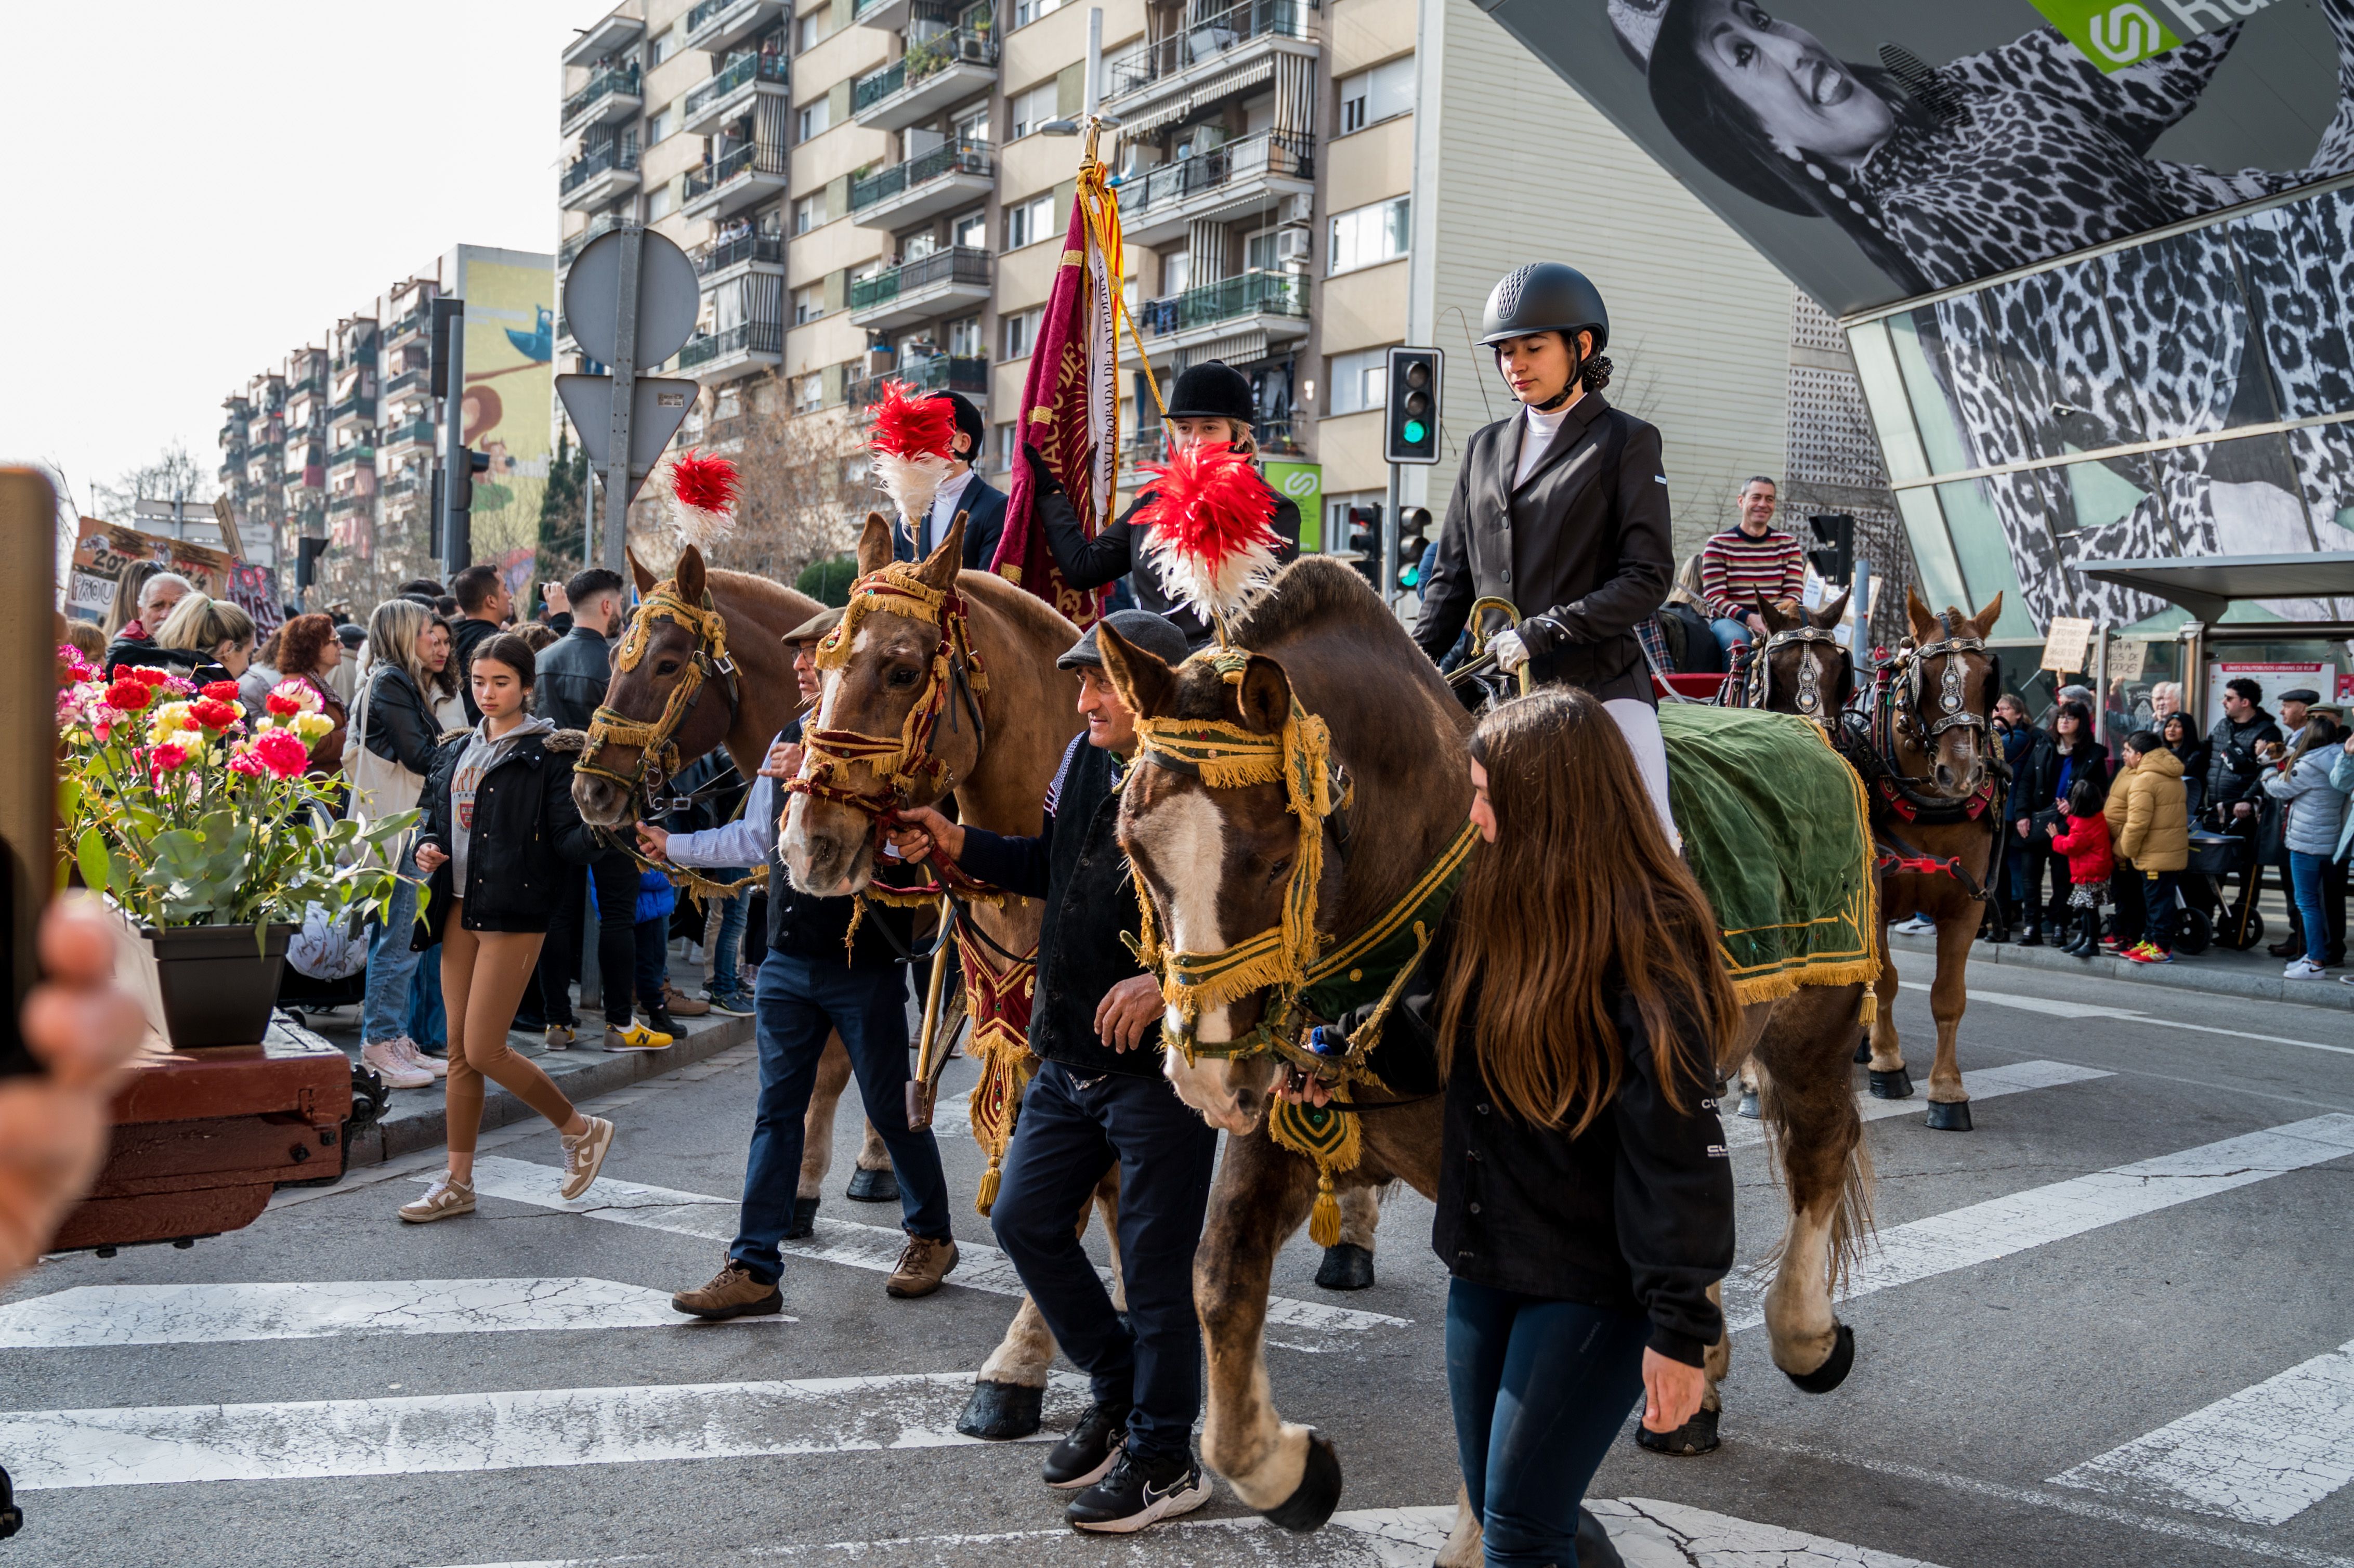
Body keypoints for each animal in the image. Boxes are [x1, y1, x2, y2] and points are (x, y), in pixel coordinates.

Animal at [1092, 553, 1883, 1553]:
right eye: (1133, 848)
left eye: (1274, 858)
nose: (1201, 1075)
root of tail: (1807, 733)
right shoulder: (1284, 1117)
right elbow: (1219, 1279)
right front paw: (1288, 1470)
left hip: (1813, 1030)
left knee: (1818, 1150)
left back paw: (1805, 1335)